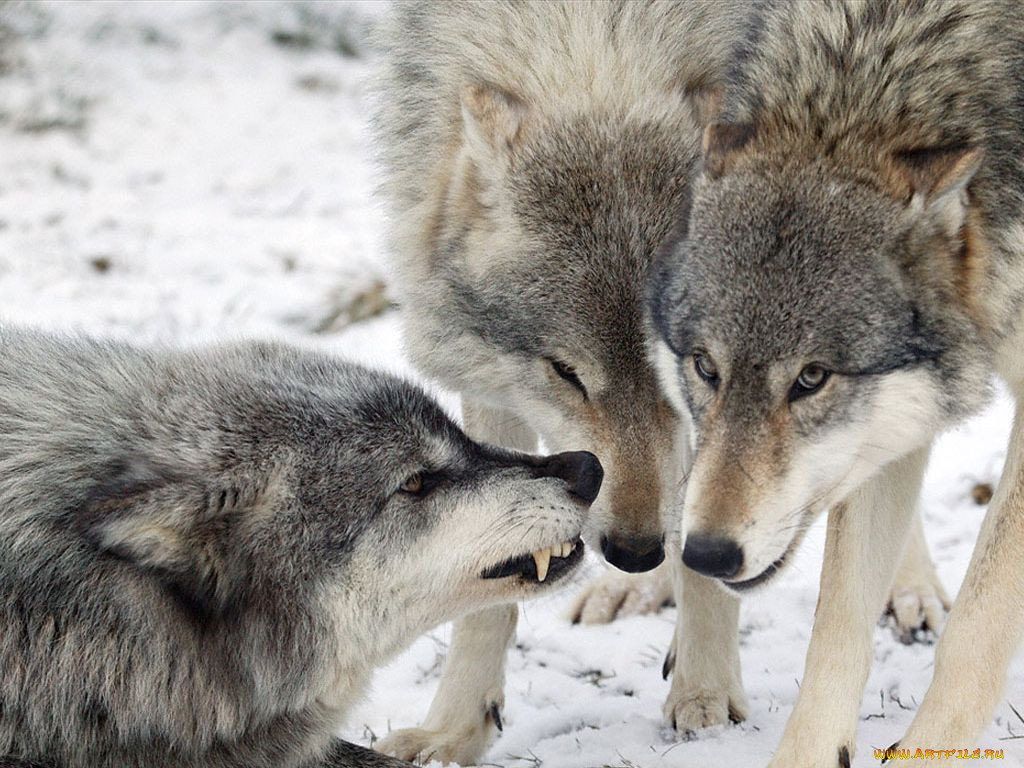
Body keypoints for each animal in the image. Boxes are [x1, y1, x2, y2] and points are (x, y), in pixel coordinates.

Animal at [374, 0, 950, 765]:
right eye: (567, 374)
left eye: (689, 368)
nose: (632, 551)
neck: (597, 41)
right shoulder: (493, 381)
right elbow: (496, 579)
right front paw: (453, 731)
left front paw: (705, 695)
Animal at [651, 3, 1024, 765]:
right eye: (706, 367)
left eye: (812, 378)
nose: (708, 553)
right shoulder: (873, 445)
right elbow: (836, 627)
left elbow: (979, 625)